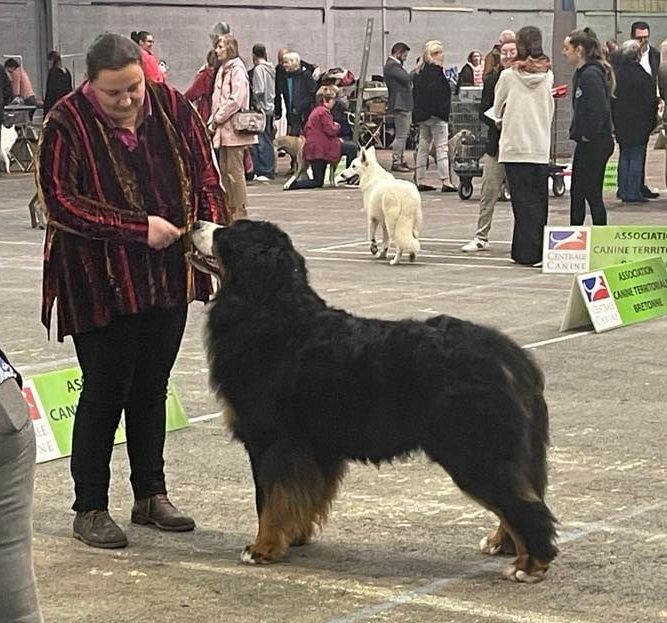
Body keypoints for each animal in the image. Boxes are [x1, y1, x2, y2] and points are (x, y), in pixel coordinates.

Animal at [188, 221, 560, 584]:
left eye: (226, 233)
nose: (194, 224)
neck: (268, 309)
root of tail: (508, 353)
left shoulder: (270, 439)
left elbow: (268, 499)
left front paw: (262, 547)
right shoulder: (313, 447)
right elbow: (297, 497)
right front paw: (293, 536)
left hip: (473, 450)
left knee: (524, 505)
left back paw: (530, 564)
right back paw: (503, 544)